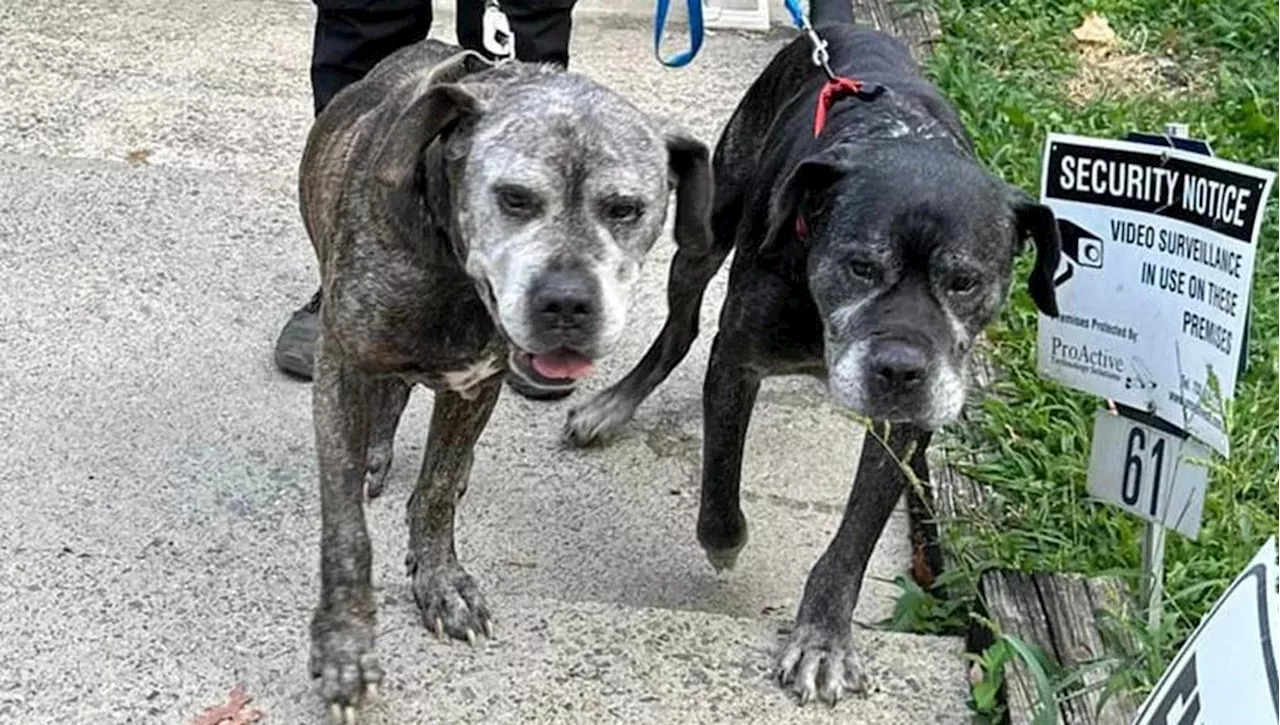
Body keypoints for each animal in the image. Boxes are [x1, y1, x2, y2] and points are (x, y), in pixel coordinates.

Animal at [304, 41, 716, 725]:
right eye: (516, 198)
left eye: (625, 209)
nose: (567, 303)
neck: (451, 269)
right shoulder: (340, 367)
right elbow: (346, 532)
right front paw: (345, 647)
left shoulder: (476, 383)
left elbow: (437, 490)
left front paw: (440, 581)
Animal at [560, 5, 1059, 712]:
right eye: (860, 266)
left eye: (965, 281)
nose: (899, 369)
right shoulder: (737, 361)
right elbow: (719, 485)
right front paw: (725, 545)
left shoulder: (903, 423)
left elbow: (853, 541)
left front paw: (823, 638)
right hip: (708, 226)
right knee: (679, 328)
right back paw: (612, 405)